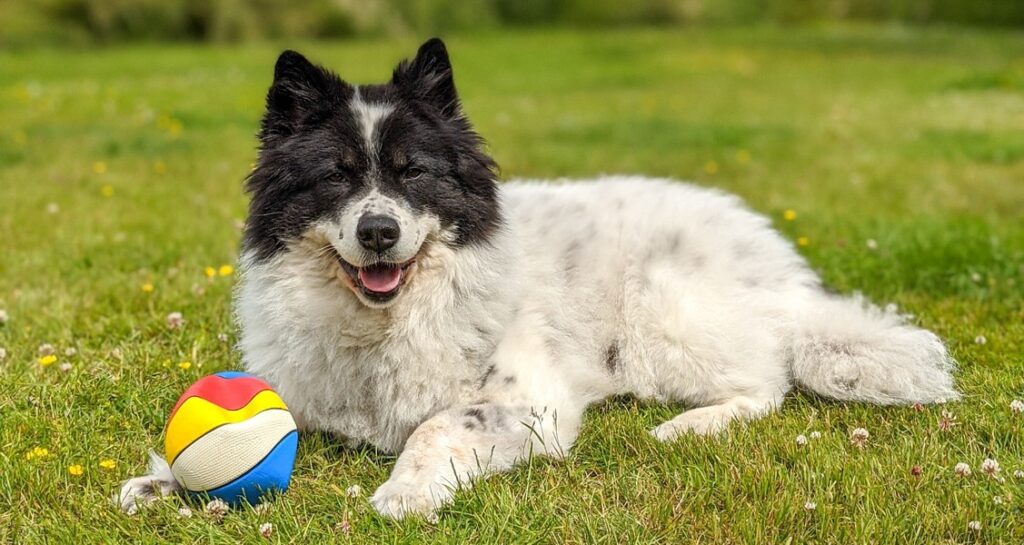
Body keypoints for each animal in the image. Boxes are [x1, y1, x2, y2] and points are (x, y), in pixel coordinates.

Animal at [119, 39, 958, 520]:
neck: (391, 318)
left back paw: (687, 425)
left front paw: (405, 491)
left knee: (768, 381)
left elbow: (434, 426)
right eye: (337, 177)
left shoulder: (526, 403)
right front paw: (166, 482)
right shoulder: (308, 391)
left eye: (412, 174)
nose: (378, 232)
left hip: (661, 316)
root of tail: (786, 273)